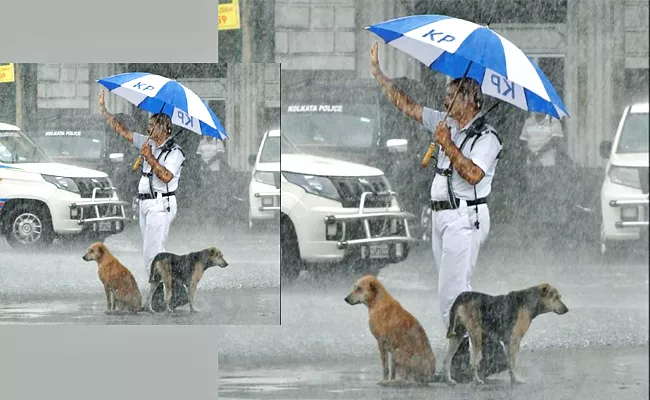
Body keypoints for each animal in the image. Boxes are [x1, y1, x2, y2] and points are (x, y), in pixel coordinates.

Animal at [440, 282, 568, 386]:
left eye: (559, 297)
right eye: (555, 297)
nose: (567, 310)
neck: (529, 302)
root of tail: (463, 295)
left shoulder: (507, 342)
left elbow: (509, 363)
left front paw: (513, 380)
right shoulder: (515, 340)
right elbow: (513, 363)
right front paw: (517, 380)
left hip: (457, 335)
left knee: (446, 360)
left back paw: (449, 381)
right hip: (476, 335)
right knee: (472, 363)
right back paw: (477, 381)